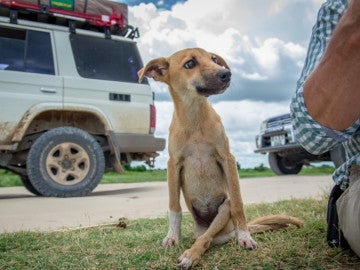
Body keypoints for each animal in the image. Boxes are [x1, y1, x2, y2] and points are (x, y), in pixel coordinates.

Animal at [139, 47, 302, 268]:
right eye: (190, 63)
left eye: (214, 59)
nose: (226, 74)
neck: (195, 119)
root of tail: (225, 232)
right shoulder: (173, 164)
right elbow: (174, 207)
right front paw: (172, 236)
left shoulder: (227, 159)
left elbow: (239, 203)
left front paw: (245, 237)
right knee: (203, 237)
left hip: (224, 210)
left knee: (206, 238)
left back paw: (194, 254)